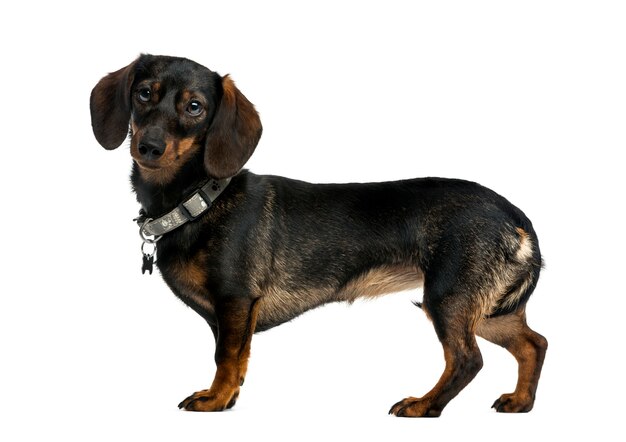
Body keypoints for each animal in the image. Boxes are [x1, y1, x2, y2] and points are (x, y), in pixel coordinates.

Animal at [89, 53, 544, 416]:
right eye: (144, 94)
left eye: (195, 107)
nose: (149, 147)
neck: (200, 199)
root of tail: (512, 213)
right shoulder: (231, 314)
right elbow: (237, 360)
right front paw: (230, 397)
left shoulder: (235, 300)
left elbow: (226, 358)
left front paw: (215, 399)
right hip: (487, 309)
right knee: (533, 344)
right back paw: (520, 401)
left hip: (447, 299)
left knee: (467, 360)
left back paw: (423, 405)